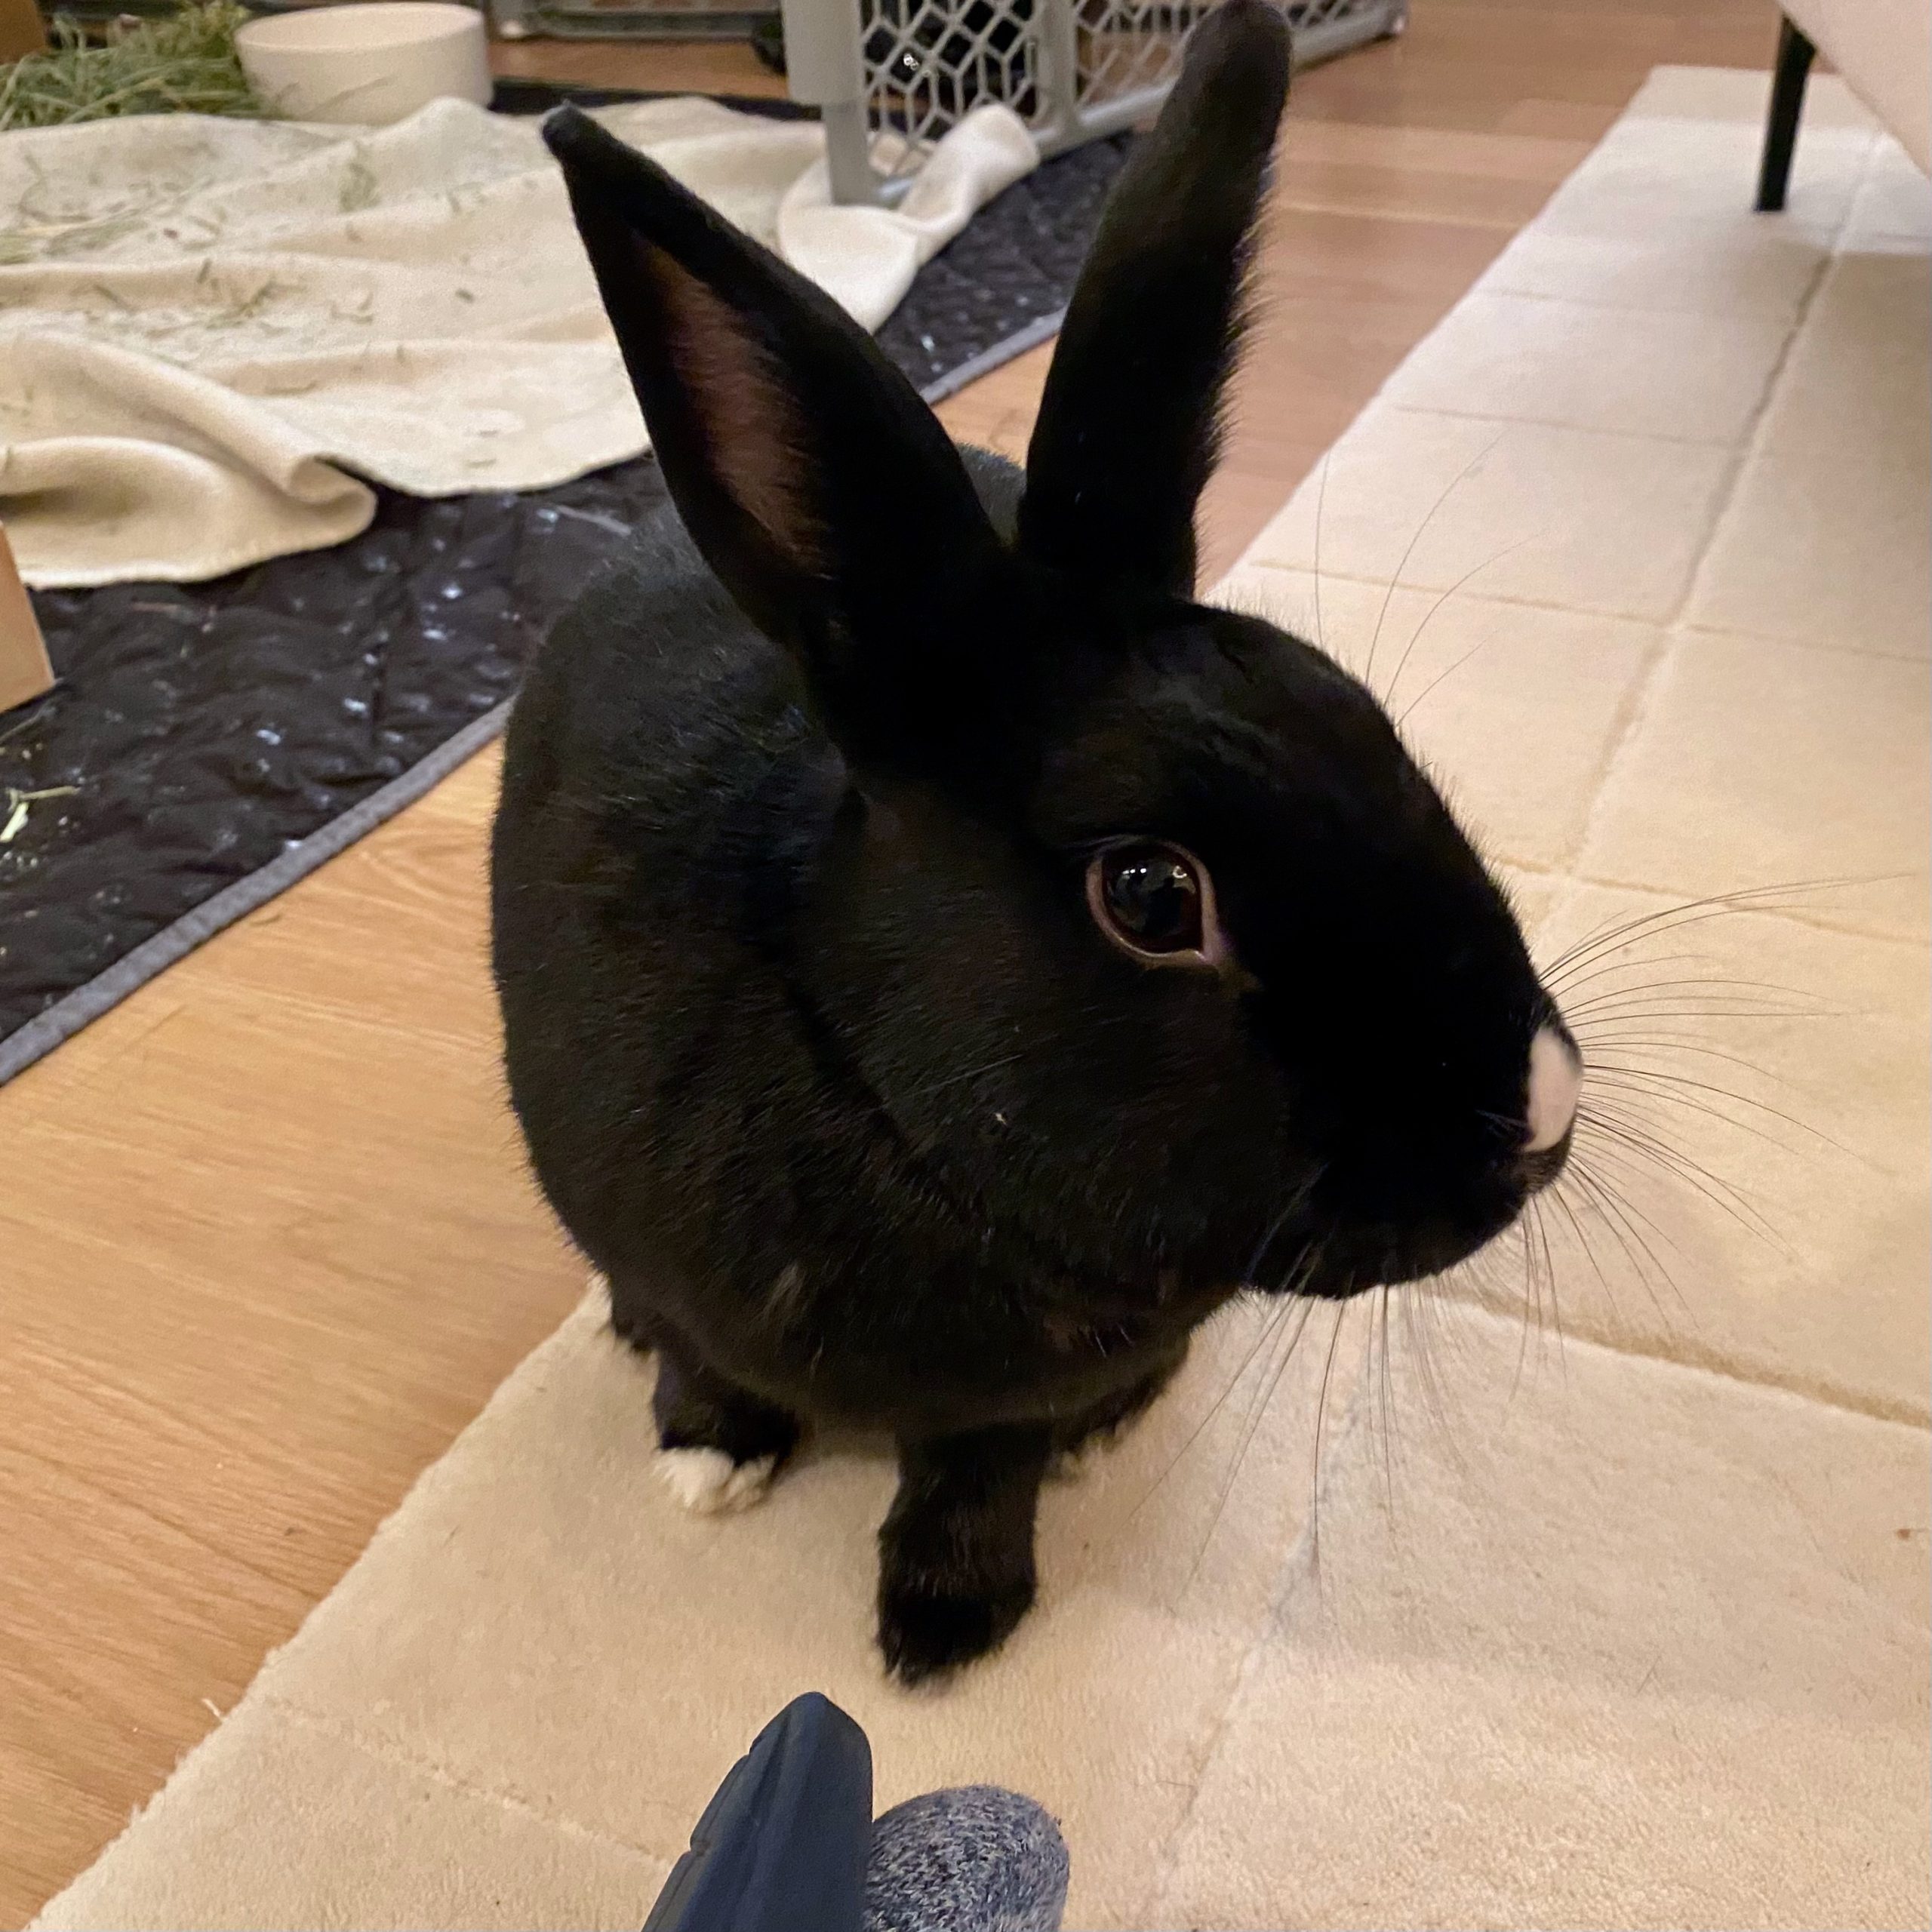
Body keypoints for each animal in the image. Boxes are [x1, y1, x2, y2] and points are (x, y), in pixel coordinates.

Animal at [490, 0, 1583, 1684]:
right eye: (1149, 894)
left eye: (1361, 719)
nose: (1539, 1113)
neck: (890, 1111)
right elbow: (698, 1359)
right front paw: (709, 1463)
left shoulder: (1002, 1410)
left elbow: (979, 1474)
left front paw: (944, 1628)